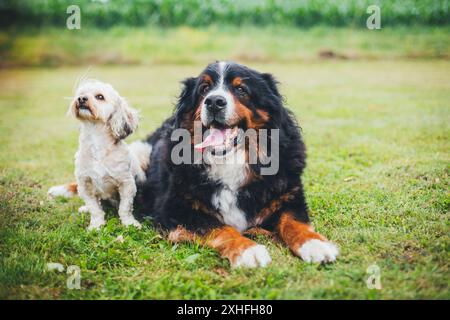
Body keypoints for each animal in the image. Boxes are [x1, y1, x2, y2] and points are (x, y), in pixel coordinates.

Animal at [48, 79, 149, 230]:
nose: (81, 99)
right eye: (81, 93)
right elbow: (94, 208)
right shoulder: (85, 185)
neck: (97, 143)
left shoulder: (126, 183)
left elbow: (125, 208)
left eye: (100, 96)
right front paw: (96, 225)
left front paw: (129, 223)